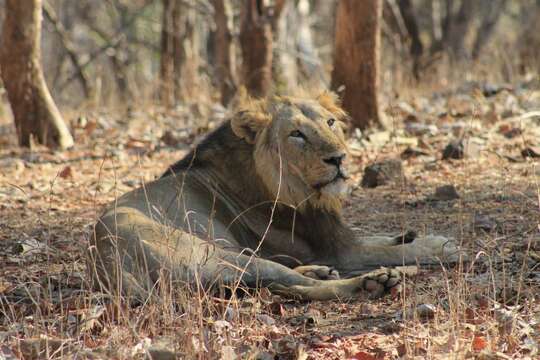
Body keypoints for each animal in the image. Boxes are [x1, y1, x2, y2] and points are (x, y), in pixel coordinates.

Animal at [87, 92, 456, 300]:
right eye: (296, 134)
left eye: (330, 122)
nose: (338, 158)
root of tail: (107, 258)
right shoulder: (338, 250)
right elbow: (387, 250)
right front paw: (438, 246)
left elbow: (379, 237)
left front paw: (409, 234)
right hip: (218, 256)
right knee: (295, 286)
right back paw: (373, 283)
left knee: (285, 284)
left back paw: (320, 272)